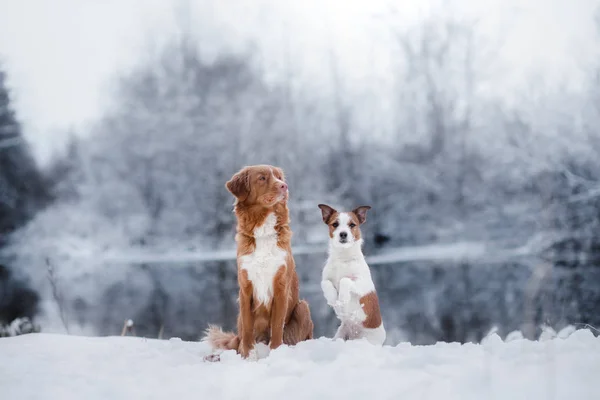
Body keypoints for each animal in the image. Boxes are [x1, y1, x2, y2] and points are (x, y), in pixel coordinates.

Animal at [204, 164, 314, 358]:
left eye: (279, 177)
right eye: (262, 178)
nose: (284, 186)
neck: (263, 228)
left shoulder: (281, 287)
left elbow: (277, 327)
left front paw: (276, 354)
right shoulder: (245, 289)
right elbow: (248, 330)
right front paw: (248, 357)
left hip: (303, 307)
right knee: (239, 339)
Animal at [318, 205, 384, 346]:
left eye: (352, 224)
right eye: (335, 224)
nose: (343, 234)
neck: (343, 258)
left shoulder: (364, 284)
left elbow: (345, 280)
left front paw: (342, 298)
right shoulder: (326, 278)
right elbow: (326, 283)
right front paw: (333, 300)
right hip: (340, 335)